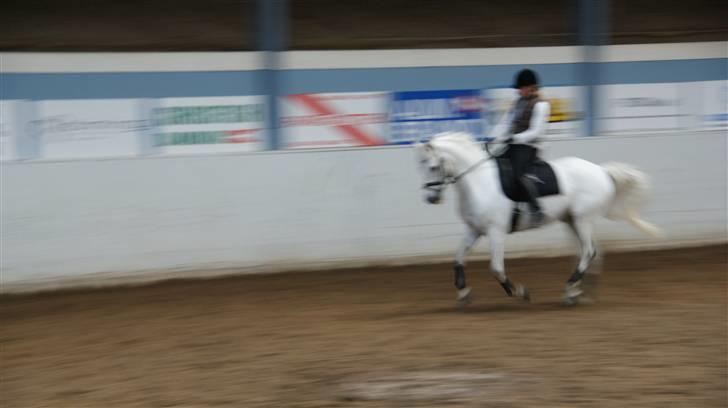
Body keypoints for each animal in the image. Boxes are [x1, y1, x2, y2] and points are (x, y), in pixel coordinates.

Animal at [412, 132, 664, 304]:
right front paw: (463, 293)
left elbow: (496, 268)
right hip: (572, 221)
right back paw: (581, 291)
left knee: (589, 252)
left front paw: (519, 292)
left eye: (433, 167)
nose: (431, 198)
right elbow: (457, 260)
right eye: (421, 167)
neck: (479, 183)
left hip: (583, 219)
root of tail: (602, 171)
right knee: (591, 251)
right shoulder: (474, 230)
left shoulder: (496, 232)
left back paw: (571, 288)